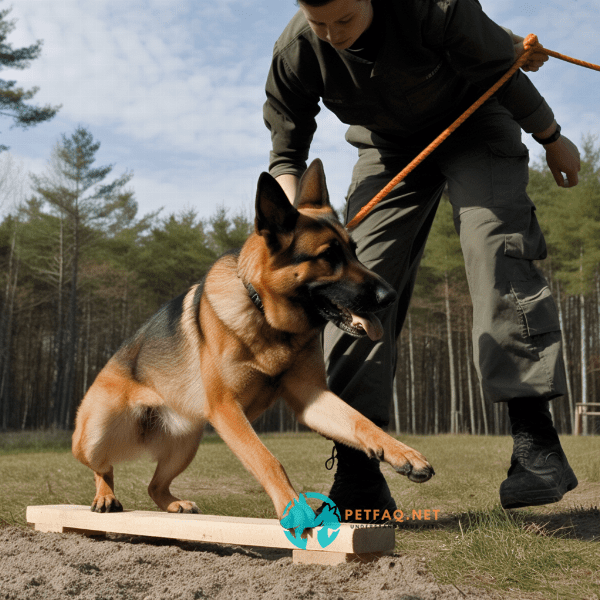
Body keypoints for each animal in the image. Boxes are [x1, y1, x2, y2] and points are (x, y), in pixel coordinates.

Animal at [72, 159, 434, 520]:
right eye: (329, 256)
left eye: (355, 252)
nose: (390, 296)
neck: (264, 314)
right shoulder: (228, 410)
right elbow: (267, 460)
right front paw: (293, 506)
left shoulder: (312, 398)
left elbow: (360, 422)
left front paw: (403, 453)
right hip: (95, 435)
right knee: (102, 467)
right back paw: (105, 496)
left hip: (186, 445)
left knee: (154, 485)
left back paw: (175, 504)